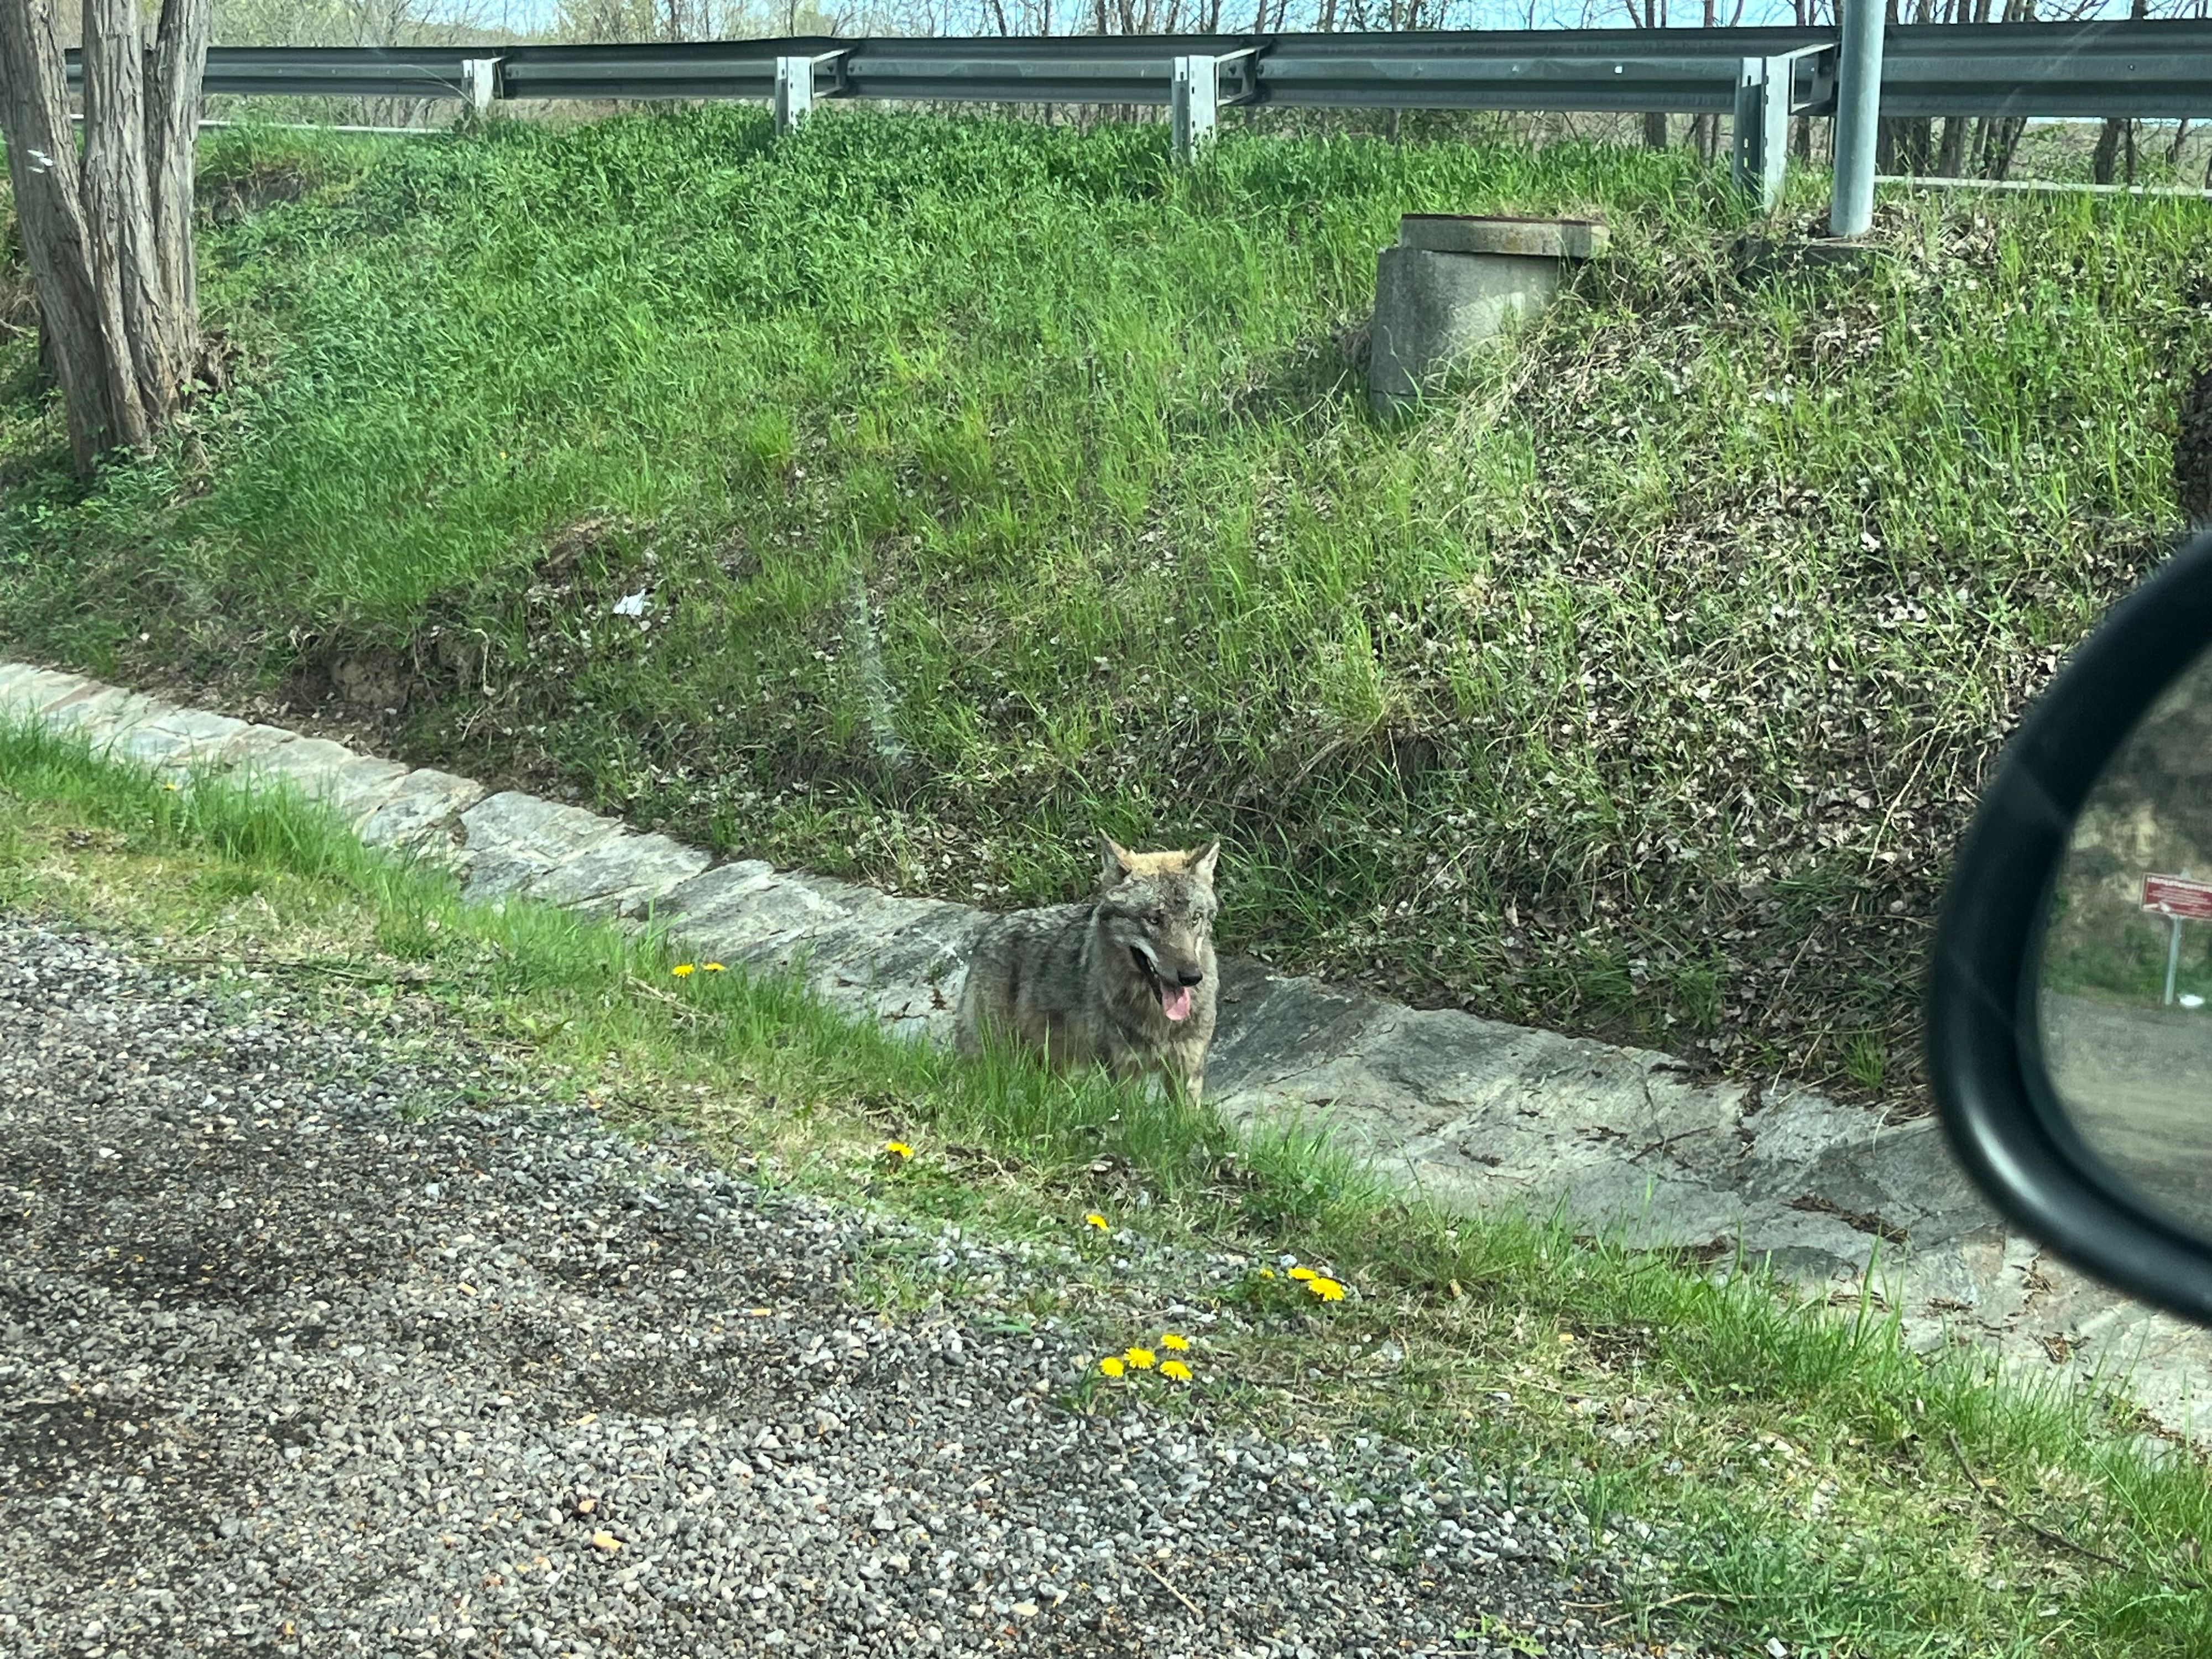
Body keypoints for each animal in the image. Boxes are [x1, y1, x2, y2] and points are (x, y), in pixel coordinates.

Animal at [954, 834, 1221, 1103]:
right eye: (1154, 920)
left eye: (1195, 919)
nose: (1191, 977)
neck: (1157, 1020)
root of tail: (990, 930)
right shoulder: (1123, 1074)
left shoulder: (1187, 1071)